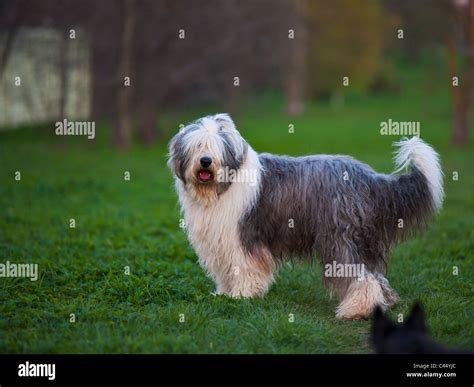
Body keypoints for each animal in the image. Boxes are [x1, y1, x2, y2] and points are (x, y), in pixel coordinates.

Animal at [165, 113, 442, 320]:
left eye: (216, 147)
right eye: (197, 146)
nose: (205, 161)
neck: (221, 187)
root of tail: (368, 177)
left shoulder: (243, 237)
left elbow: (244, 268)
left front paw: (242, 296)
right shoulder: (220, 241)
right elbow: (225, 271)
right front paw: (224, 294)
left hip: (339, 237)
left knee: (360, 275)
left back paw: (356, 310)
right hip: (364, 240)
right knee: (375, 273)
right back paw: (384, 302)